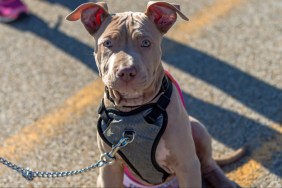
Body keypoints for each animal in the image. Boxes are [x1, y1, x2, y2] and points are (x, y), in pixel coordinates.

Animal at [66, 1, 245, 188]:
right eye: (107, 43)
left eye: (145, 42)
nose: (126, 71)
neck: (132, 108)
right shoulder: (109, 167)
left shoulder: (187, 165)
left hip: (197, 128)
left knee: (209, 164)